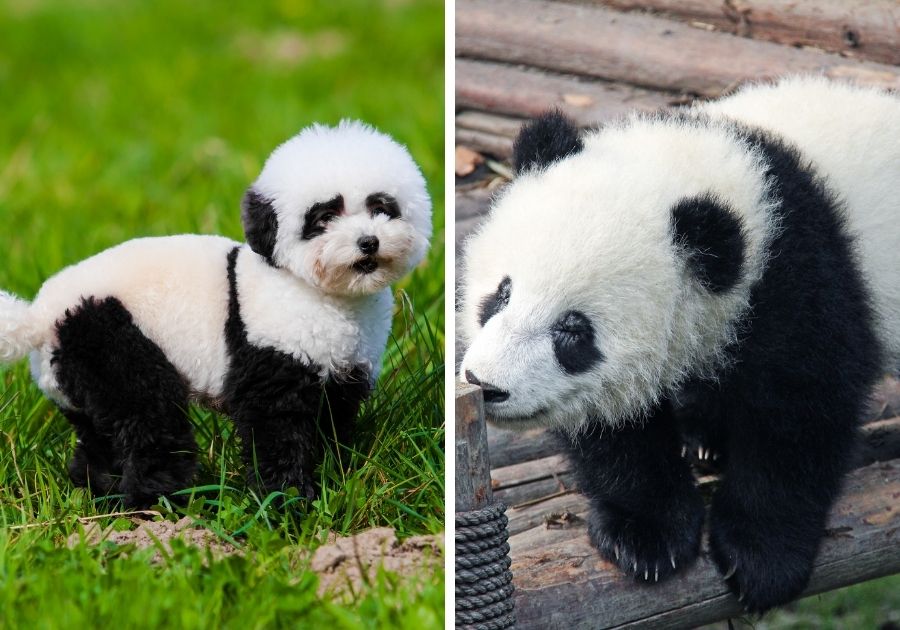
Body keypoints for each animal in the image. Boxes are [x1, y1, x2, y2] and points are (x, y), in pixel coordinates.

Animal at [0, 121, 432, 512]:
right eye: (324, 217)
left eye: (381, 208)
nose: (368, 242)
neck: (324, 294)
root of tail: (39, 317)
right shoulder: (271, 344)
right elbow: (275, 423)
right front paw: (287, 502)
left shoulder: (345, 367)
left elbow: (332, 421)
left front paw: (334, 479)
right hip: (108, 334)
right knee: (148, 415)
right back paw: (156, 505)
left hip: (77, 368)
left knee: (100, 432)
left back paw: (102, 494)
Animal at [460, 76, 896, 616]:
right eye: (502, 293)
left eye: (573, 331)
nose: (485, 384)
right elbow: (615, 430)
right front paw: (646, 536)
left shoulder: (801, 279)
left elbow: (801, 414)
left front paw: (761, 558)